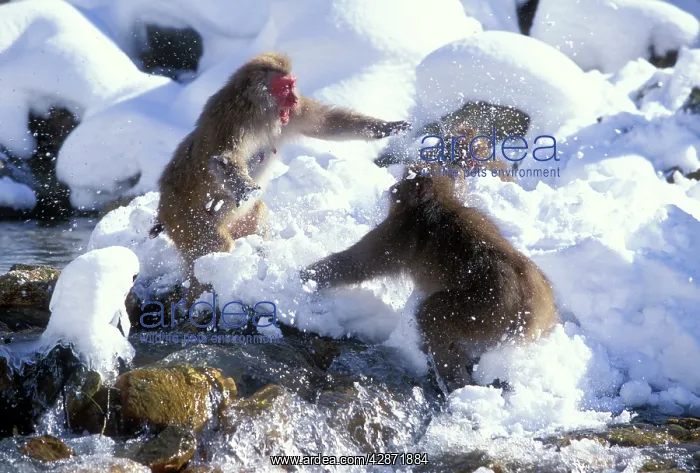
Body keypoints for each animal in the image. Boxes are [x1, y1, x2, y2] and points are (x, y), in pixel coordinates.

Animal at [151, 52, 410, 299]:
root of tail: (163, 205)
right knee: (215, 245)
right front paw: (245, 188)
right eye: (285, 87)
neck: (258, 109)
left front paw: (386, 127)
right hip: (184, 219)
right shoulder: (233, 121)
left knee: (257, 213)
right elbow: (222, 158)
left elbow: (326, 124)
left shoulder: (291, 116)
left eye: (292, 85)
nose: (294, 99)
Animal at [300, 151, 558, 392]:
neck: (439, 202)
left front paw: (307, 278)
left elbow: (359, 263)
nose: (392, 188)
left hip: (483, 311)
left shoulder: (398, 233)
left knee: (433, 315)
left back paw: (453, 383)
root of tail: (535, 308)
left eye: (406, 178)